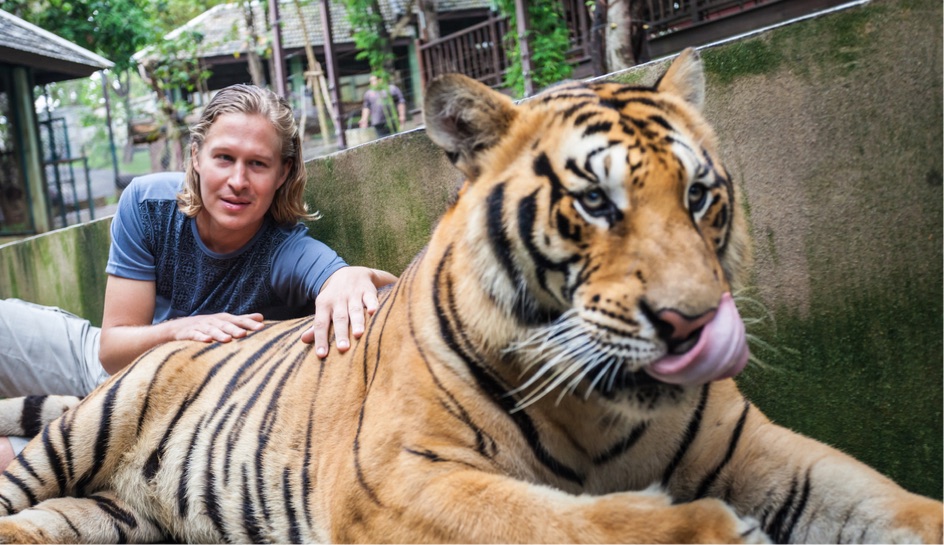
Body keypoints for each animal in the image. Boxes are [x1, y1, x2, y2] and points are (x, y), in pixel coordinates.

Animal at [0, 48, 939, 544]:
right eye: (596, 202)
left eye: (701, 195)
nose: (691, 322)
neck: (601, 409)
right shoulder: (395, 481)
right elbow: (572, 522)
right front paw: (716, 529)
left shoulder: (757, 447)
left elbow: (890, 500)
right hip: (86, 432)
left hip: (114, 516)